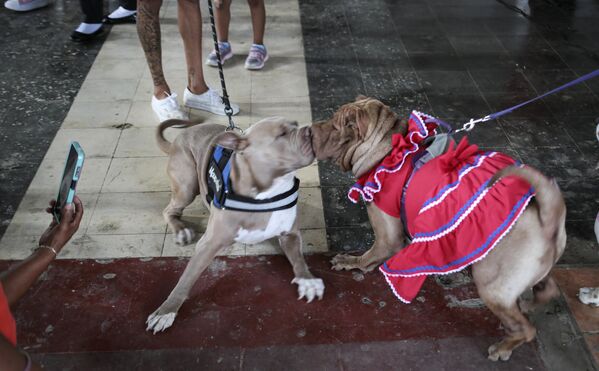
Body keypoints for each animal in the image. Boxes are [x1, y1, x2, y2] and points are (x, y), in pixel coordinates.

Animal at [148, 118, 326, 334]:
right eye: (282, 134)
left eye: (296, 124)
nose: (311, 130)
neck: (267, 194)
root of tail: (178, 138)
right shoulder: (208, 244)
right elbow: (186, 278)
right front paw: (166, 310)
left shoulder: (289, 234)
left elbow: (299, 259)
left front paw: (308, 280)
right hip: (187, 186)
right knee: (169, 210)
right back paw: (181, 229)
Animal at [312, 96, 568, 364]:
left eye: (336, 126)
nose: (311, 130)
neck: (390, 150)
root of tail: (549, 215)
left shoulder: (387, 237)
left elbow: (369, 256)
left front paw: (350, 262)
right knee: (547, 289)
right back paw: (528, 305)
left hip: (492, 286)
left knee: (525, 329)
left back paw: (503, 347)